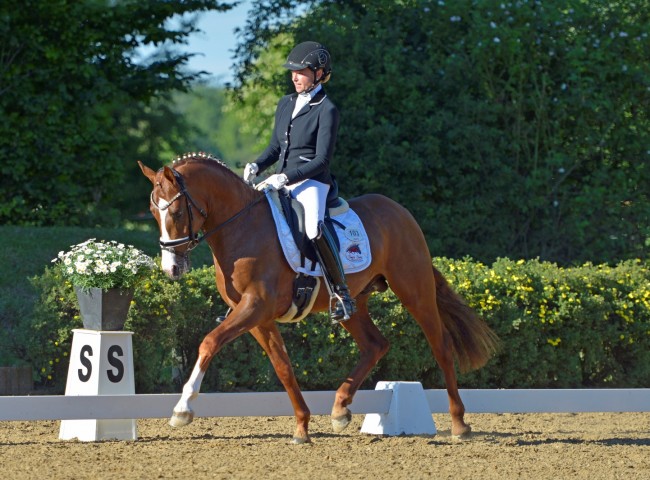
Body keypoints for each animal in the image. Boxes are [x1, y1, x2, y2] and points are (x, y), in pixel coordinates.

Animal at [139, 153, 499, 444]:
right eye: (154, 213)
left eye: (176, 213)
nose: (171, 269)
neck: (241, 227)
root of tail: (400, 210)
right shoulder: (256, 316)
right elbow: (283, 366)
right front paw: (302, 427)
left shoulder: (255, 306)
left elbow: (209, 342)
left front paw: (182, 409)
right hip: (353, 302)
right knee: (375, 344)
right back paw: (340, 408)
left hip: (414, 290)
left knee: (441, 346)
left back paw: (459, 424)